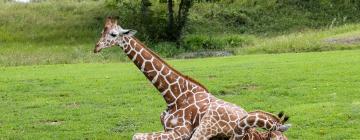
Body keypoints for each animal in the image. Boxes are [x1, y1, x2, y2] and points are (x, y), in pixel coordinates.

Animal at [93, 17, 286, 139]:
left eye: (113, 34)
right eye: (102, 31)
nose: (96, 47)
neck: (173, 96)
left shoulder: (181, 132)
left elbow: (136, 136)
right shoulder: (167, 128)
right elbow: (136, 135)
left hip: (208, 127)